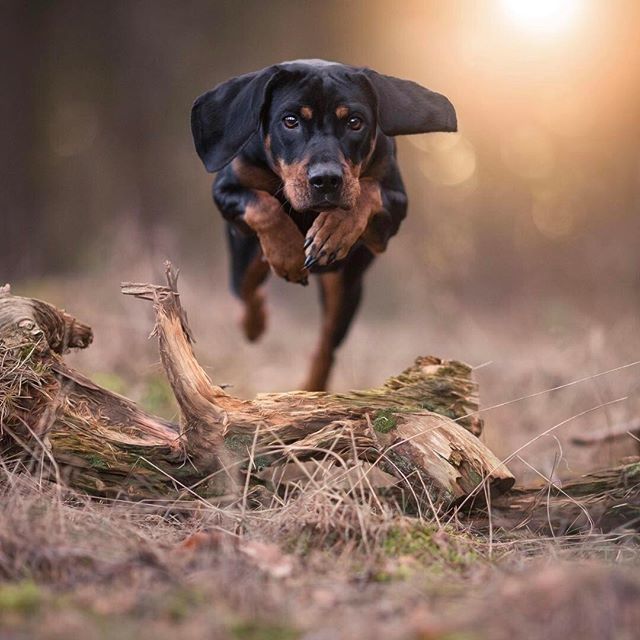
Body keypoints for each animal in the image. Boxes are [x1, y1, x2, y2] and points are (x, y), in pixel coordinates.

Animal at [190, 60, 456, 390]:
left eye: (355, 122)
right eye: (290, 121)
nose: (326, 180)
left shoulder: (392, 215)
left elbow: (366, 190)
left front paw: (333, 232)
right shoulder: (227, 189)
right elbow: (265, 206)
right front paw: (288, 254)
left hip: (346, 286)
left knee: (327, 345)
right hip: (243, 258)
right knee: (247, 288)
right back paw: (255, 322)